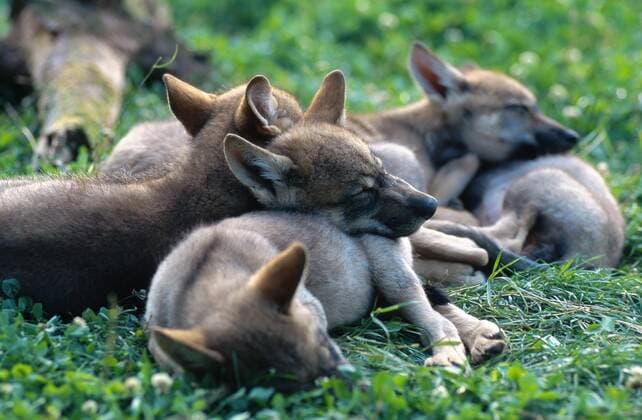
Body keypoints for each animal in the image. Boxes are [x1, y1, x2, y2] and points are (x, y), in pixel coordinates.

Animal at [145, 210, 507, 389]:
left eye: (324, 338)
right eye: (291, 384)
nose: (361, 387)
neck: (200, 276)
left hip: (391, 273)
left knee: (434, 316)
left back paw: (452, 353)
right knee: (436, 303)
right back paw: (482, 337)